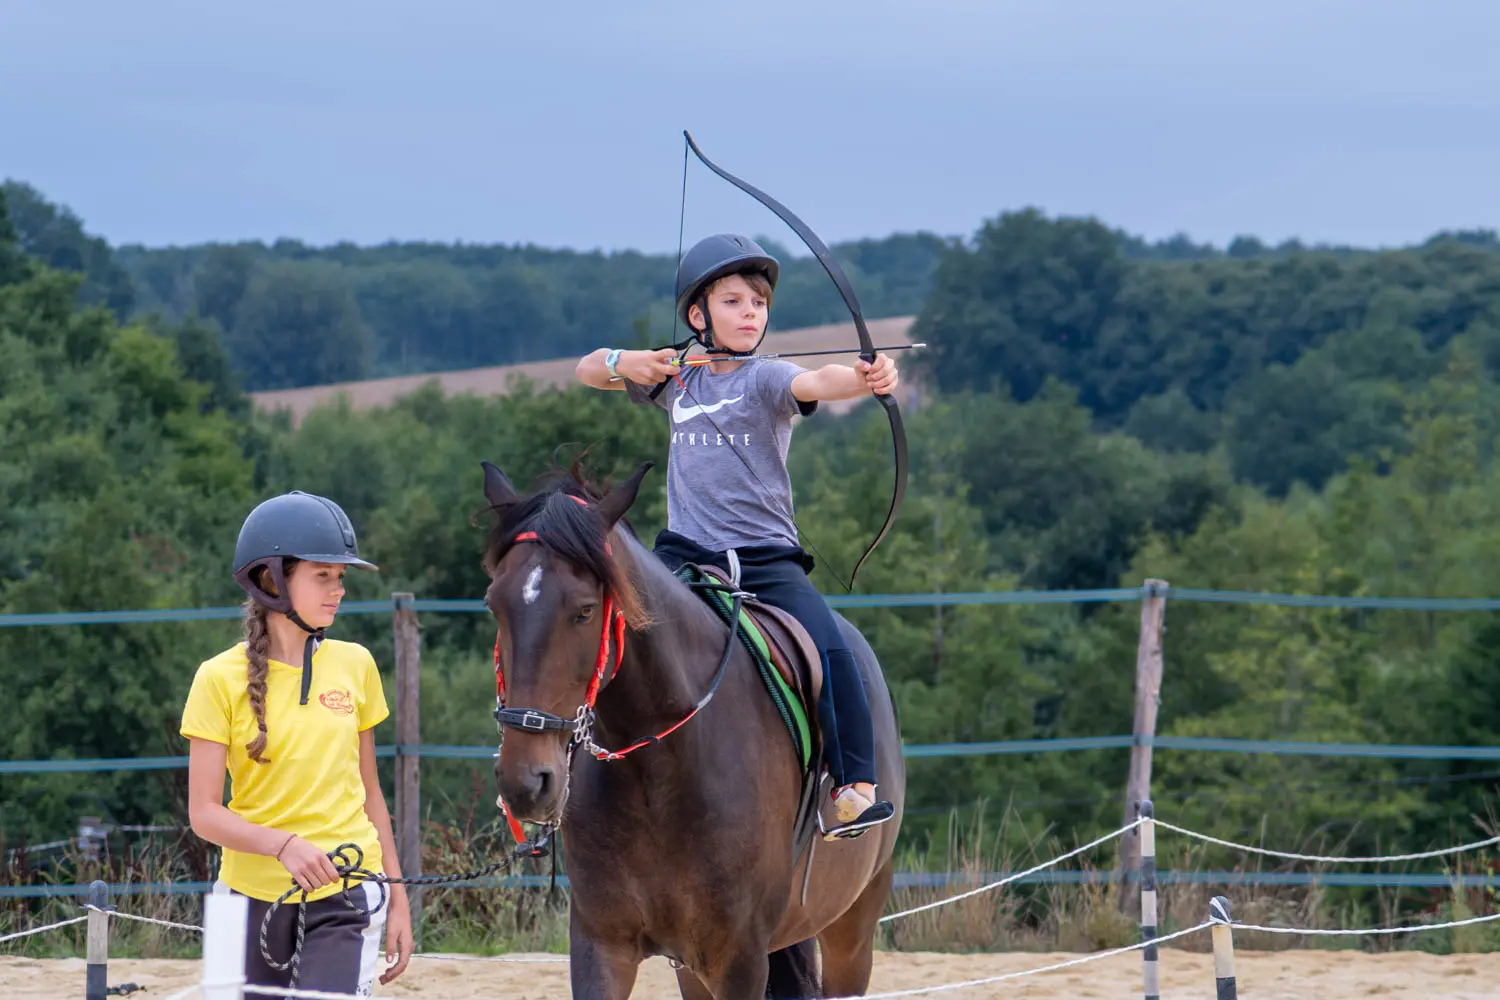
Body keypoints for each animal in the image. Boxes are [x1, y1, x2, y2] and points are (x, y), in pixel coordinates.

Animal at [478, 459, 906, 1000]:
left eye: (585, 610)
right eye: (494, 604)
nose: (526, 782)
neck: (659, 772)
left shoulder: (739, 960)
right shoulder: (603, 946)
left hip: (851, 933)